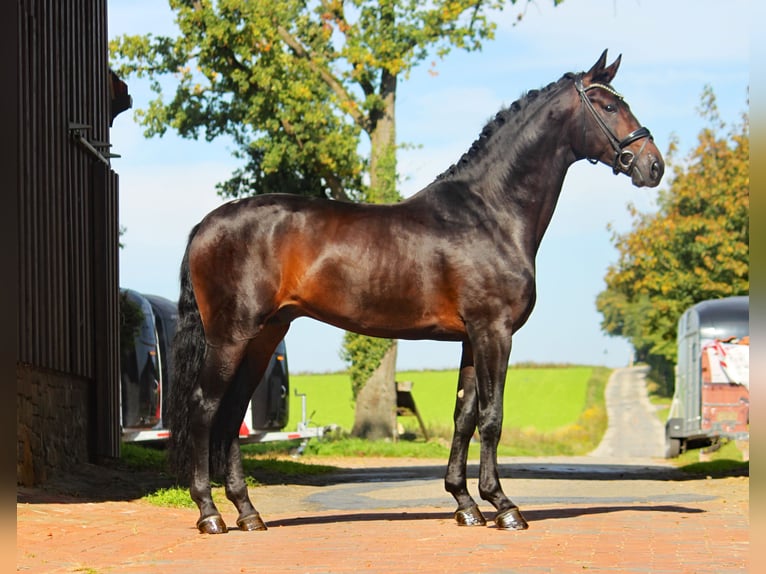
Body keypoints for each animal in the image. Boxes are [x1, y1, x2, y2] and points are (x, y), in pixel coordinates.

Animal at [170, 51, 664, 536]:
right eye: (608, 106)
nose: (653, 165)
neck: (490, 213)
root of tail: (204, 226)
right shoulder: (495, 332)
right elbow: (492, 417)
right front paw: (504, 506)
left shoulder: (471, 338)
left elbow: (465, 415)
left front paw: (466, 504)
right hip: (232, 337)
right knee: (205, 407)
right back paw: (210, 514)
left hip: (265, 336)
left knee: (232, 412)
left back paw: (248, 513)